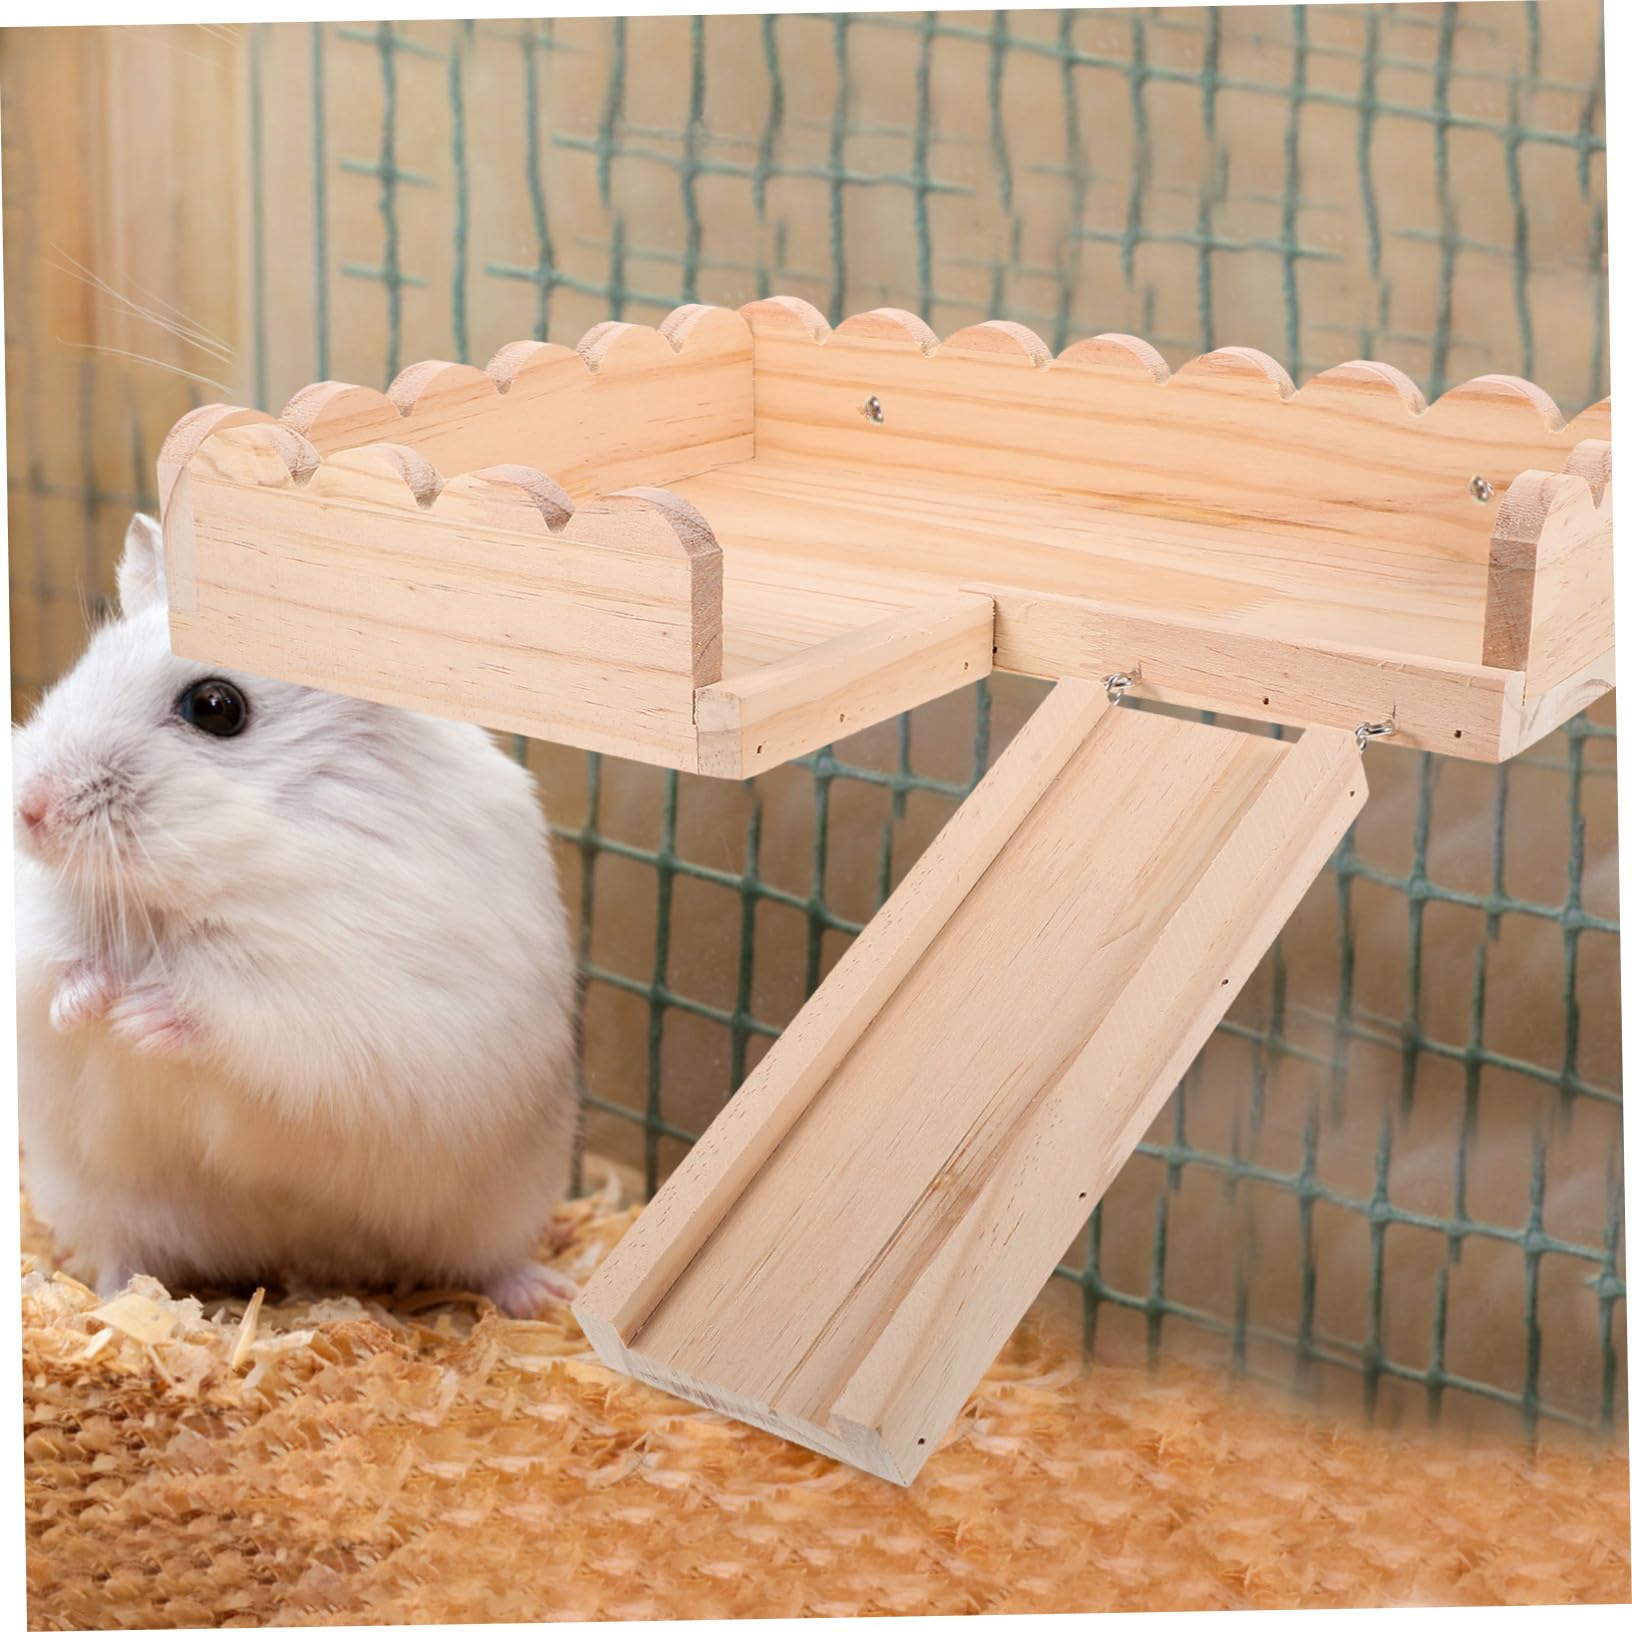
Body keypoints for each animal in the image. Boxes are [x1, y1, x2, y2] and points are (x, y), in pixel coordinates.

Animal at [12, 512, 581, 1316]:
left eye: (215, 707)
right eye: (86, 666)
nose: (28, 810)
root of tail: (311, 1257)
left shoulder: (330, 996)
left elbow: (232, 1007)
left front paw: (135, 1017)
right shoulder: (35, 941)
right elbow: (56, 974)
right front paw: (89, 1007)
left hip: (503, 1199)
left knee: (488, 1260)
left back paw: (546, 1296)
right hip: (106, 1202)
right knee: (130, 1257)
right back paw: (114, 1301)